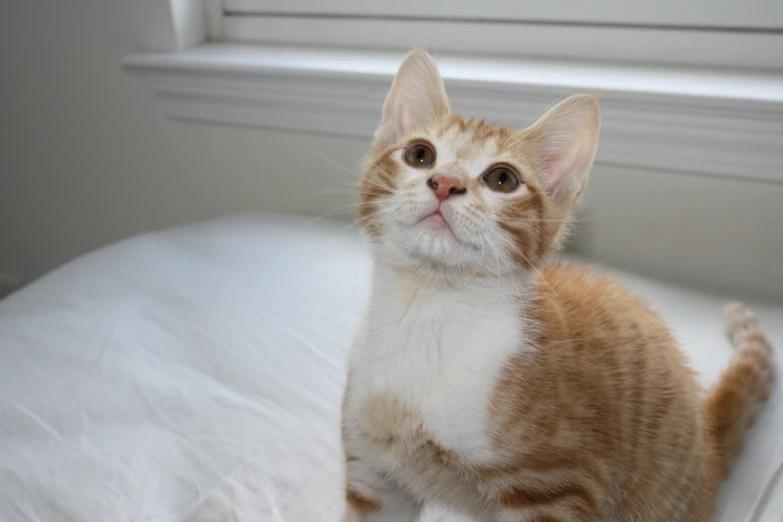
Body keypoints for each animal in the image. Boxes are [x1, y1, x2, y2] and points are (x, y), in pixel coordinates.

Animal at [340, 49, 776, 520]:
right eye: (420, 154)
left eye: (502, 179)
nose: (446, 183)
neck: (428, 310)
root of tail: (707, 441)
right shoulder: (372, 474)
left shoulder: (559, 486)